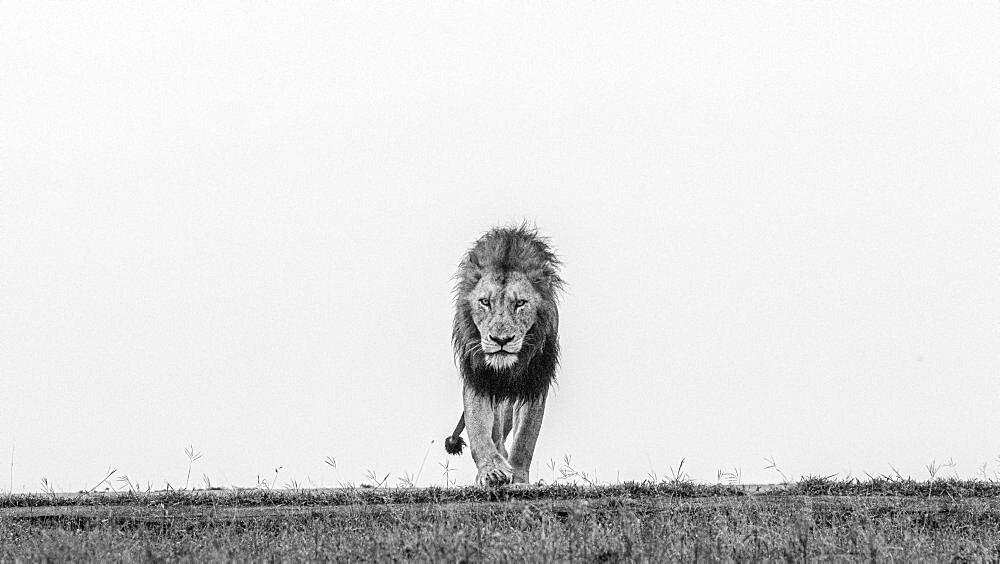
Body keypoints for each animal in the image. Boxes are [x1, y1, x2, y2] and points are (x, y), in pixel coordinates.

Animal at [444, 224, 564, 484]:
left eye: (520, 303)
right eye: (485, 302)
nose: (501, 340)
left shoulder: (534, 381)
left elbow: (525, 438)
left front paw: (518, 477)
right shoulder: (478, 375)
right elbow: (479, 427)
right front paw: (491, 470)